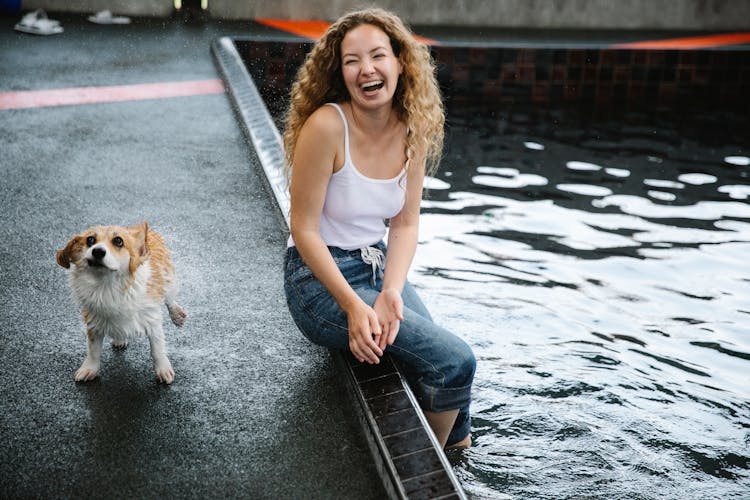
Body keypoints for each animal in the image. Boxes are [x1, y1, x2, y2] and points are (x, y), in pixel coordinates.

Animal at [57, 222, 187, 382]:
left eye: (118, 241)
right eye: (90, 240)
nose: (98, 251)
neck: (107, 285)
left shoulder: (152, 320)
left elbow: (157, 349)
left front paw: (163, 370)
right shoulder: (94, 322)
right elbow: (93, 350)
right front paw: (89, 369)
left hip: (168, 279)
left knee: (170, 298)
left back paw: (177, 315)